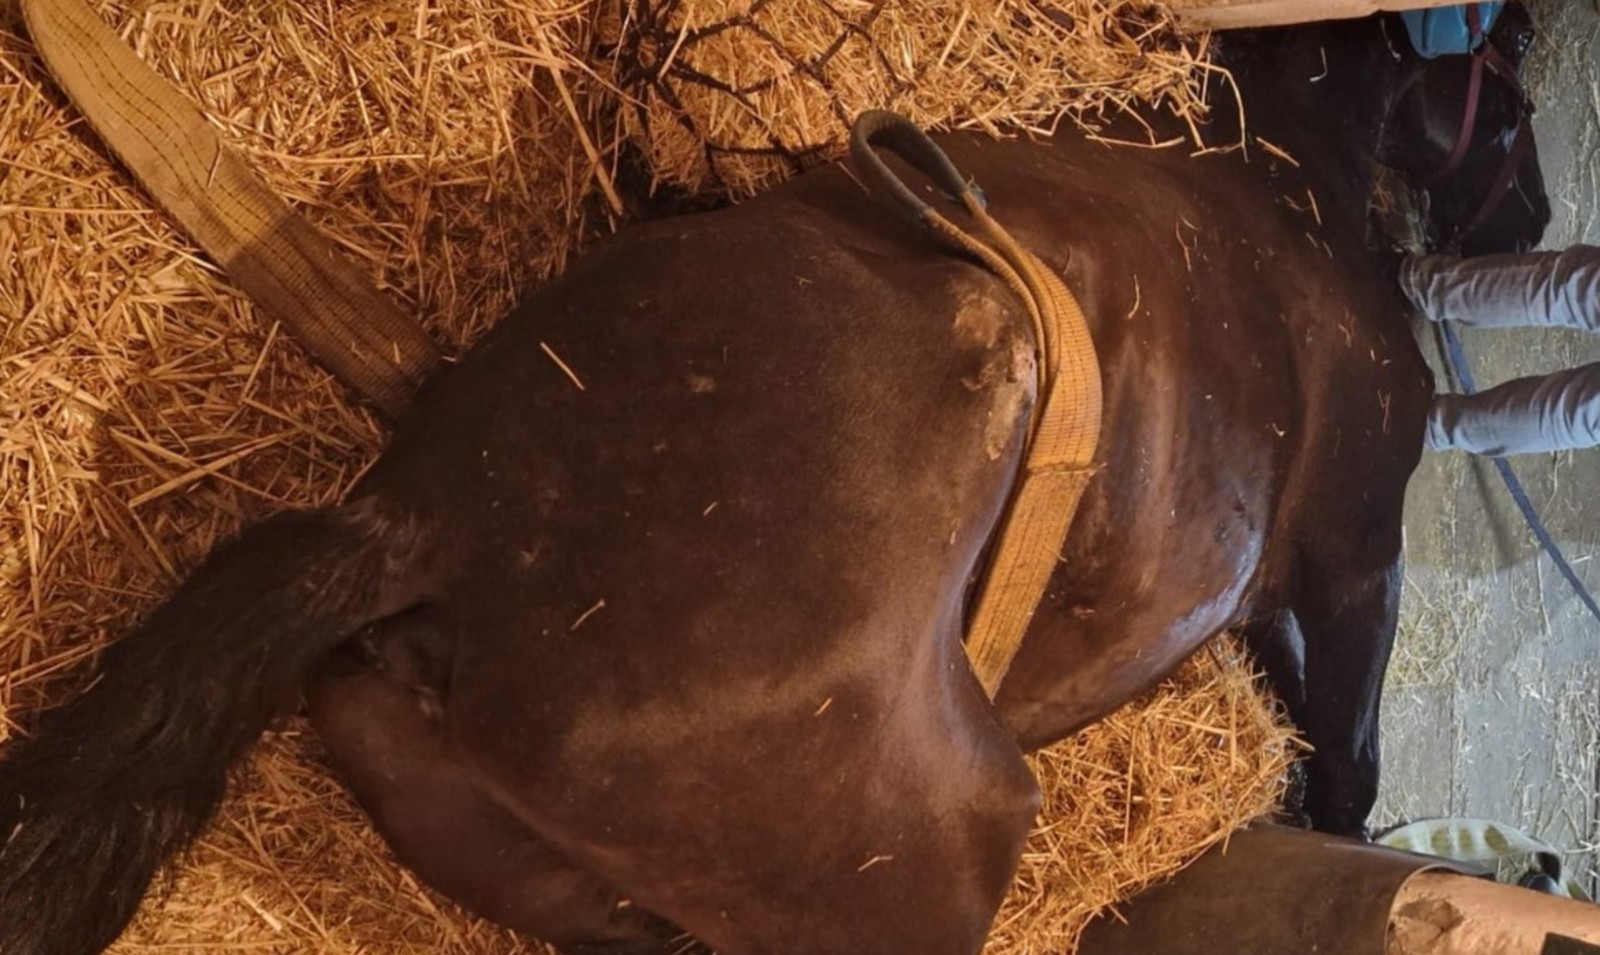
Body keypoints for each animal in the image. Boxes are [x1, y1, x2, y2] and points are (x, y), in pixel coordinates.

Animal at [0, 10, 1547, 955]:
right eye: (1513, 110)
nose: (1532, 217)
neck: (1284, 183)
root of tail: (421, 528)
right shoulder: (1354, 552)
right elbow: (1347, 746)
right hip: (931, 846)